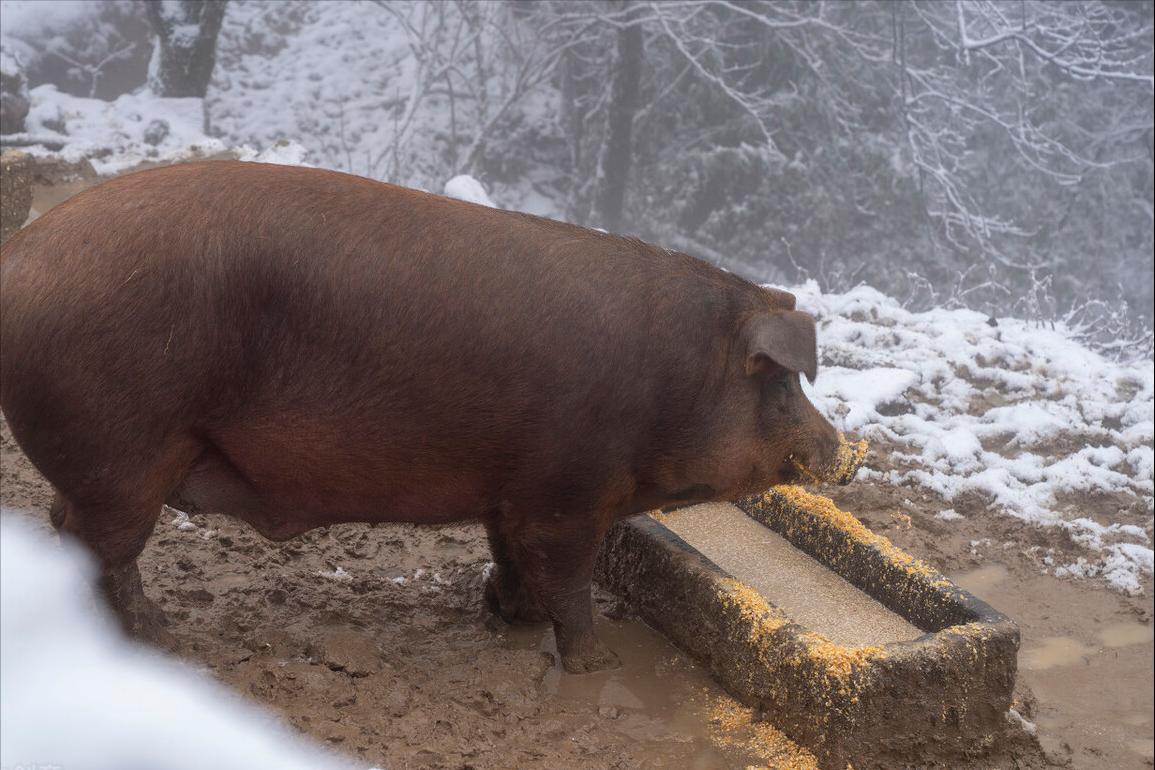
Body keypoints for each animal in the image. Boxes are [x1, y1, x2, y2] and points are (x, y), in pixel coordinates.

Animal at [0, 161, 850, 674]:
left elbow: (513, 559)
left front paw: (504, 621)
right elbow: (566, 580)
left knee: (65, 525)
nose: (840, 451)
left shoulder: (513, 492)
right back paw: (161, 638)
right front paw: (594, 664)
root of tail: (20, 257)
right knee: (97, 546)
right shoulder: (567, 493)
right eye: (781, 384)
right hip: (123, 453)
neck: (671, 384)